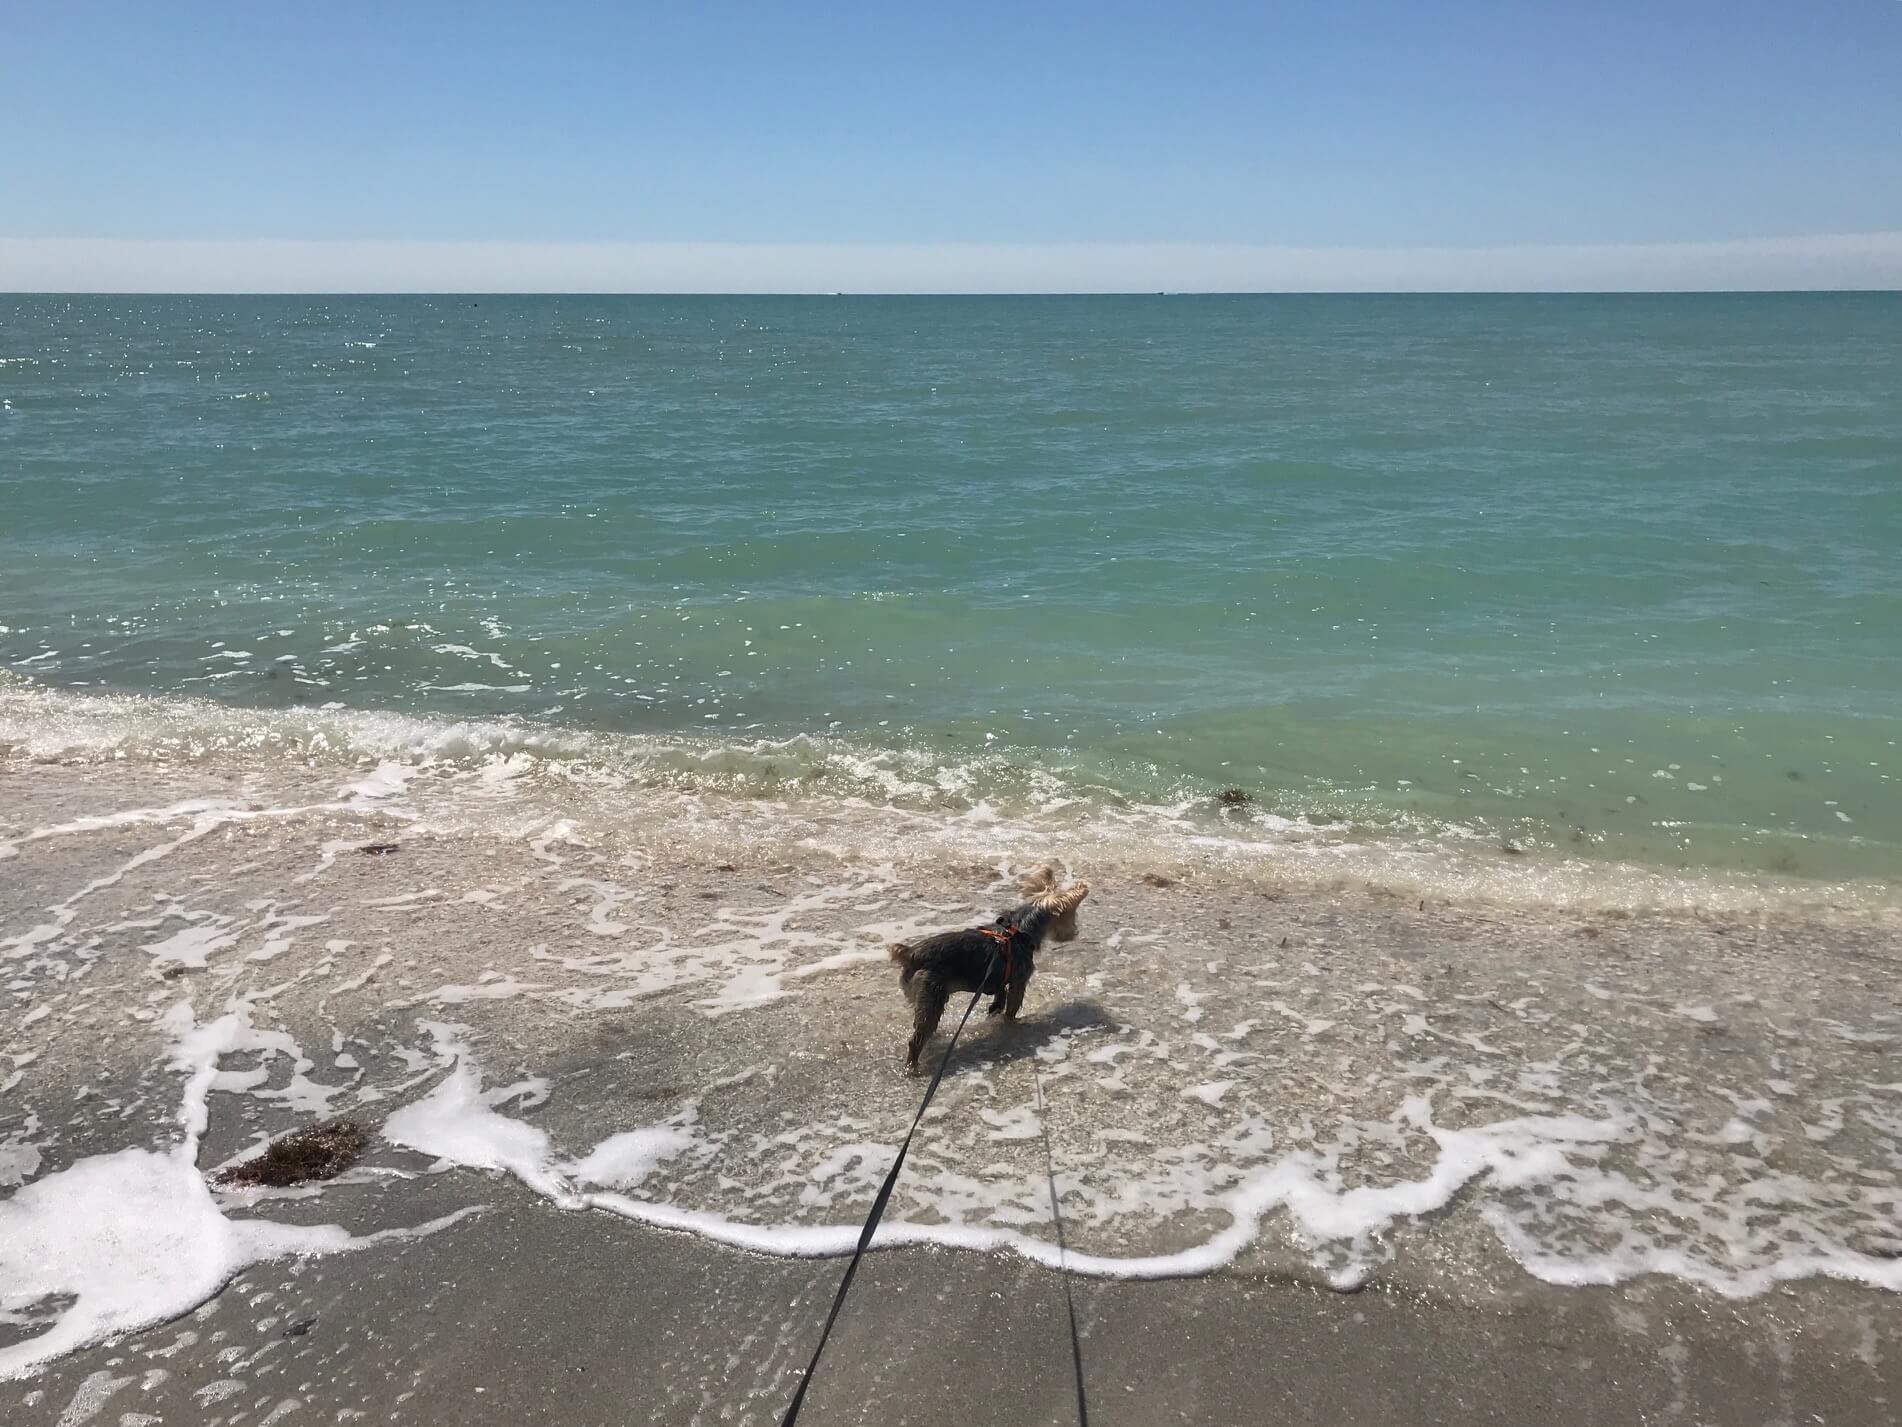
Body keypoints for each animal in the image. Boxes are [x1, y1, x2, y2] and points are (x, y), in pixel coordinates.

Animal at [886, 867, 1095, 1080]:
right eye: (1072, 916)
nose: (1075, 933)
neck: (1021, 929)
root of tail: (910, 953)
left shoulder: (998, 979)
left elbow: (999, 998)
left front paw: (994, 1011)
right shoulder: (1019, 980)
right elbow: (1012, 1007)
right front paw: (1011, 1023)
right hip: (932, 992)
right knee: (917, 1038)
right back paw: (913, 1067)